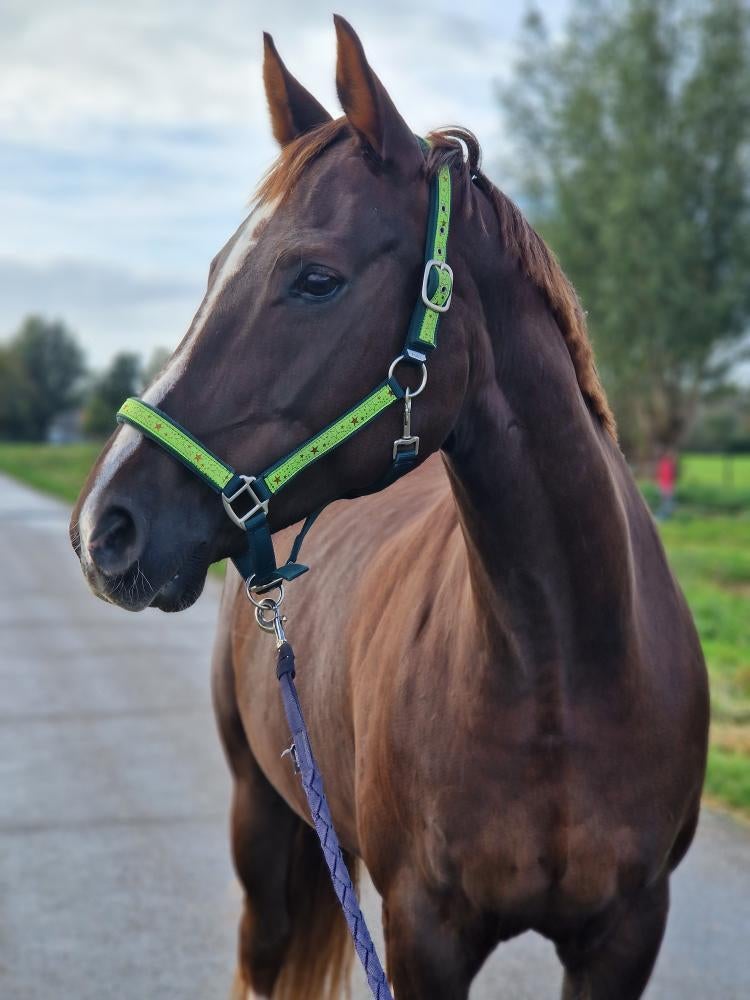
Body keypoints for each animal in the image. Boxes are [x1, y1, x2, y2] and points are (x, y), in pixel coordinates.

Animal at [70, 16, 709, 1000]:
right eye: (215, 271)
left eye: (315, 279)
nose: (105, 525)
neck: (565, 675)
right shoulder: (422, 935)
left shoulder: (625, 937)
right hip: (261, 830)